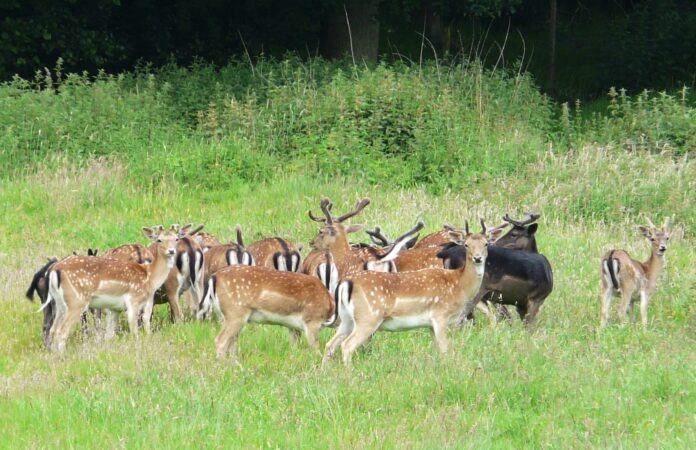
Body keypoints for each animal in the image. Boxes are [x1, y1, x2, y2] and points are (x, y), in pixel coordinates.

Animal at [42, 226, 179, 352]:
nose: (171, 251)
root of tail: (53, 270)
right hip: (76, 301)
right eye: (159, 240)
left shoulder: (116, 308)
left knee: (53, 329)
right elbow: (134, 331)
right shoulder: (133, 300)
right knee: (62, 331)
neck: (150, 276)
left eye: (176, 239)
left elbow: (110, 334)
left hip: (59, 303)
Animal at [196, 265, 335, 363]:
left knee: (231, 342)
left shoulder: (293, 327)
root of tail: (214, 278)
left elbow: (295, 348)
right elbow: (315, 347)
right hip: (235, 312)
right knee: (221, 340)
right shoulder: (312, 320)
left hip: (225, 315)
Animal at [323, 221, 490, 366]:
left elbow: (438, 349)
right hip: (368, 317)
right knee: (347, 345)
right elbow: (445, 350)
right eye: (466, 245)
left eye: (486, 243)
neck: (459, 284)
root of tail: (345, 283)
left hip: (347, 319)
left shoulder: (430, 324)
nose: (478, 258)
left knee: (330, 344)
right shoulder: (440, 316)